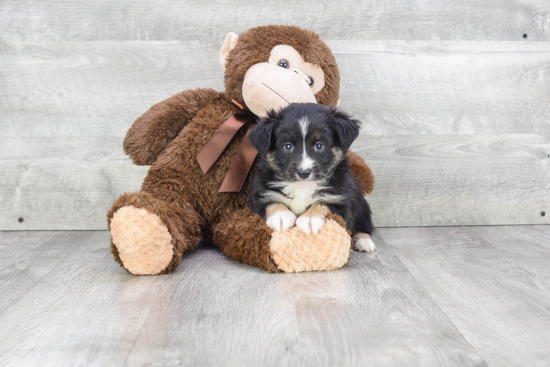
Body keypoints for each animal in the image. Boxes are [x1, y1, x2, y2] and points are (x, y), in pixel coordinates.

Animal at [249, 103, 376, 253]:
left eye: (319, 145)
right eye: (288, 146)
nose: (304, 172)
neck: (302, 186)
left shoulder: (340, 200)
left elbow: (322, 203)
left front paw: (310, 219)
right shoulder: (261, 193)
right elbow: (273, 202)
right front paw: (281, 216)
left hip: (361, 203)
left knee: (364, 225)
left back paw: (364, 240)